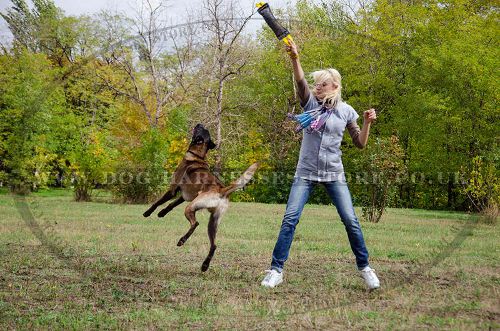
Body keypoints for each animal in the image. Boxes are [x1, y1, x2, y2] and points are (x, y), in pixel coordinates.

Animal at [141, 124, 258, 272]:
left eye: (200, 130)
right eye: (204, 130)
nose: (199, 124)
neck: (197, 156)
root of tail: (221, 190)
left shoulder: (173, 190)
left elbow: (158, 202)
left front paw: (148, 213)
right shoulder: (183, 196)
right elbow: (170, 205)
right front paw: (162, 213)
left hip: (191, 206)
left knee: (195, 223)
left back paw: (182, 240)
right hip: (212, 222)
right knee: (214, 245)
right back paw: (205, 265)